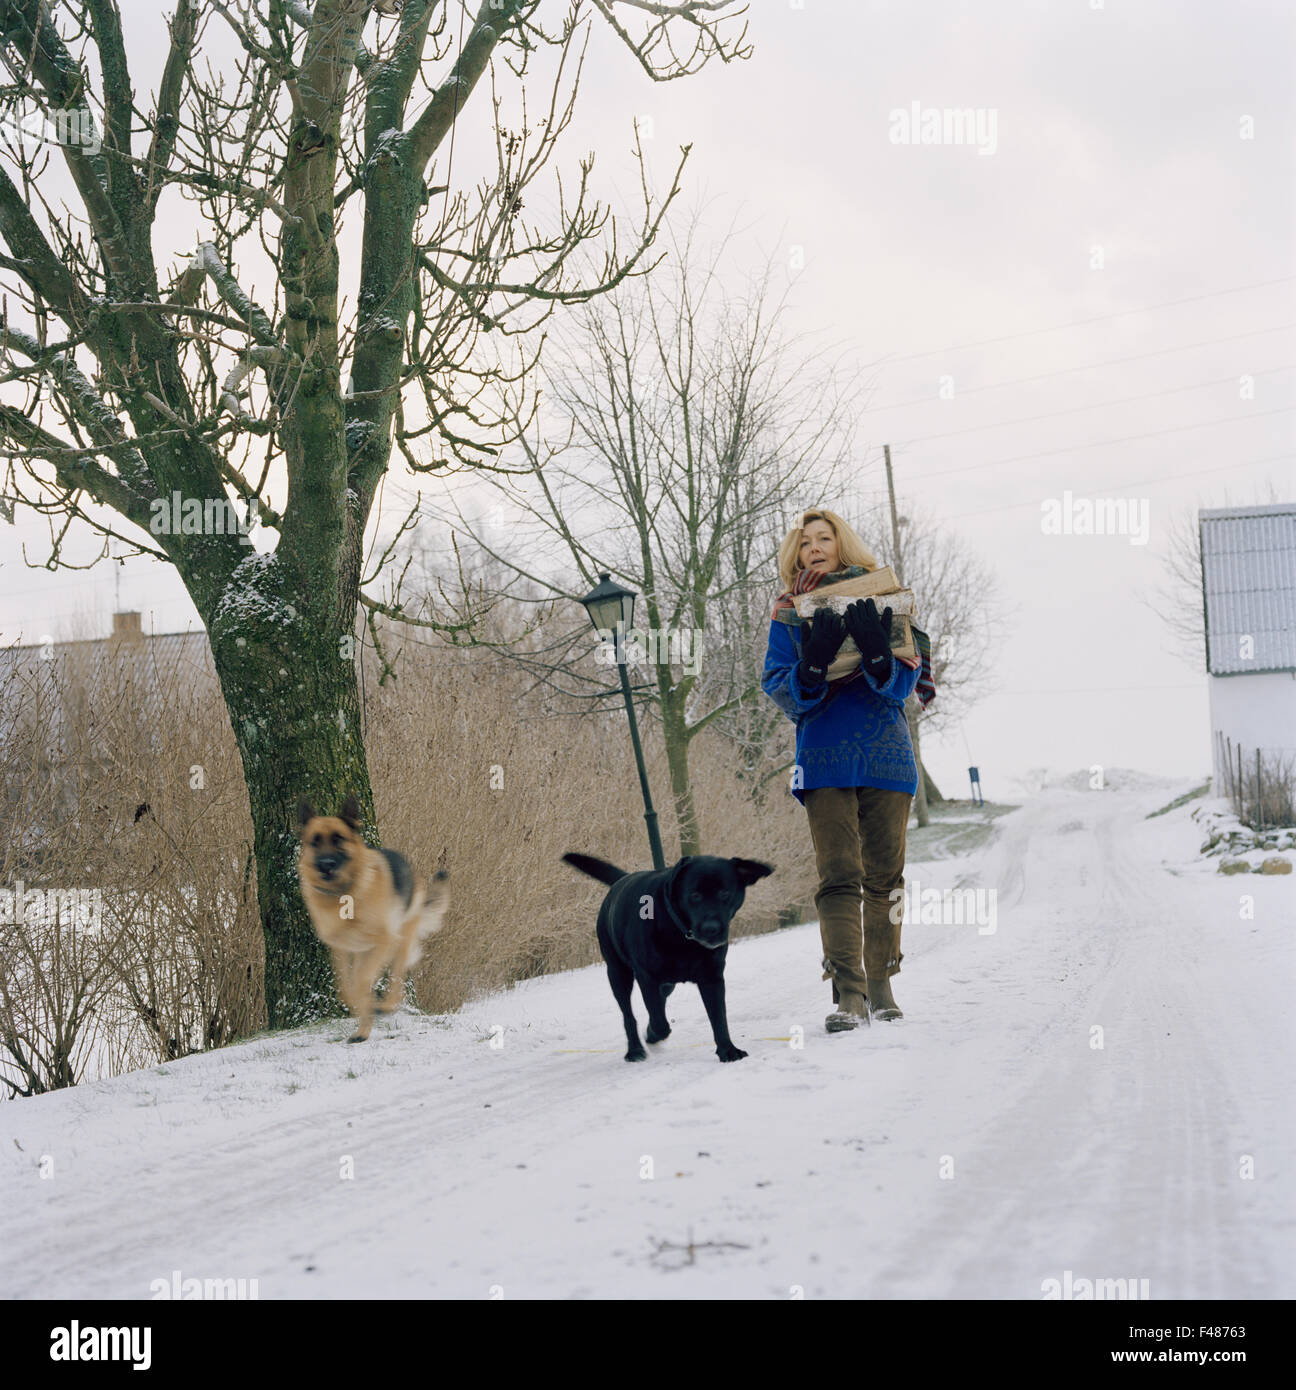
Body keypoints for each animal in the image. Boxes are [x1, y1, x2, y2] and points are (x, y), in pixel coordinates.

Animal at [298, 795, 450, 1045]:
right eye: (315, 841)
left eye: (339, 838)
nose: (326, 865)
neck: (344, 893)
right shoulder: (341, 949)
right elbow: (346, 987)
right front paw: (358, 1013)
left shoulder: (384, 941)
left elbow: (361, 981)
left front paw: (368, 1010)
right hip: (366, 951)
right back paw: (364, 1027)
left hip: (399, 940)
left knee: (396, 979)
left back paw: (384, 1007)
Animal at [561, 845, 773, 1061]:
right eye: (694, 895)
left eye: (724, 893)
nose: (711, 929)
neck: (681, 934)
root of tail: (622, 879)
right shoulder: (646, 976)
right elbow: (658, 1020)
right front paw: (653, 1034)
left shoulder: (712, 976)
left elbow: (719, 1017)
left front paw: (727, 1050)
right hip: (617, 973)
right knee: (629, 1015)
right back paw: (635, 1049)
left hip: (665, 982)